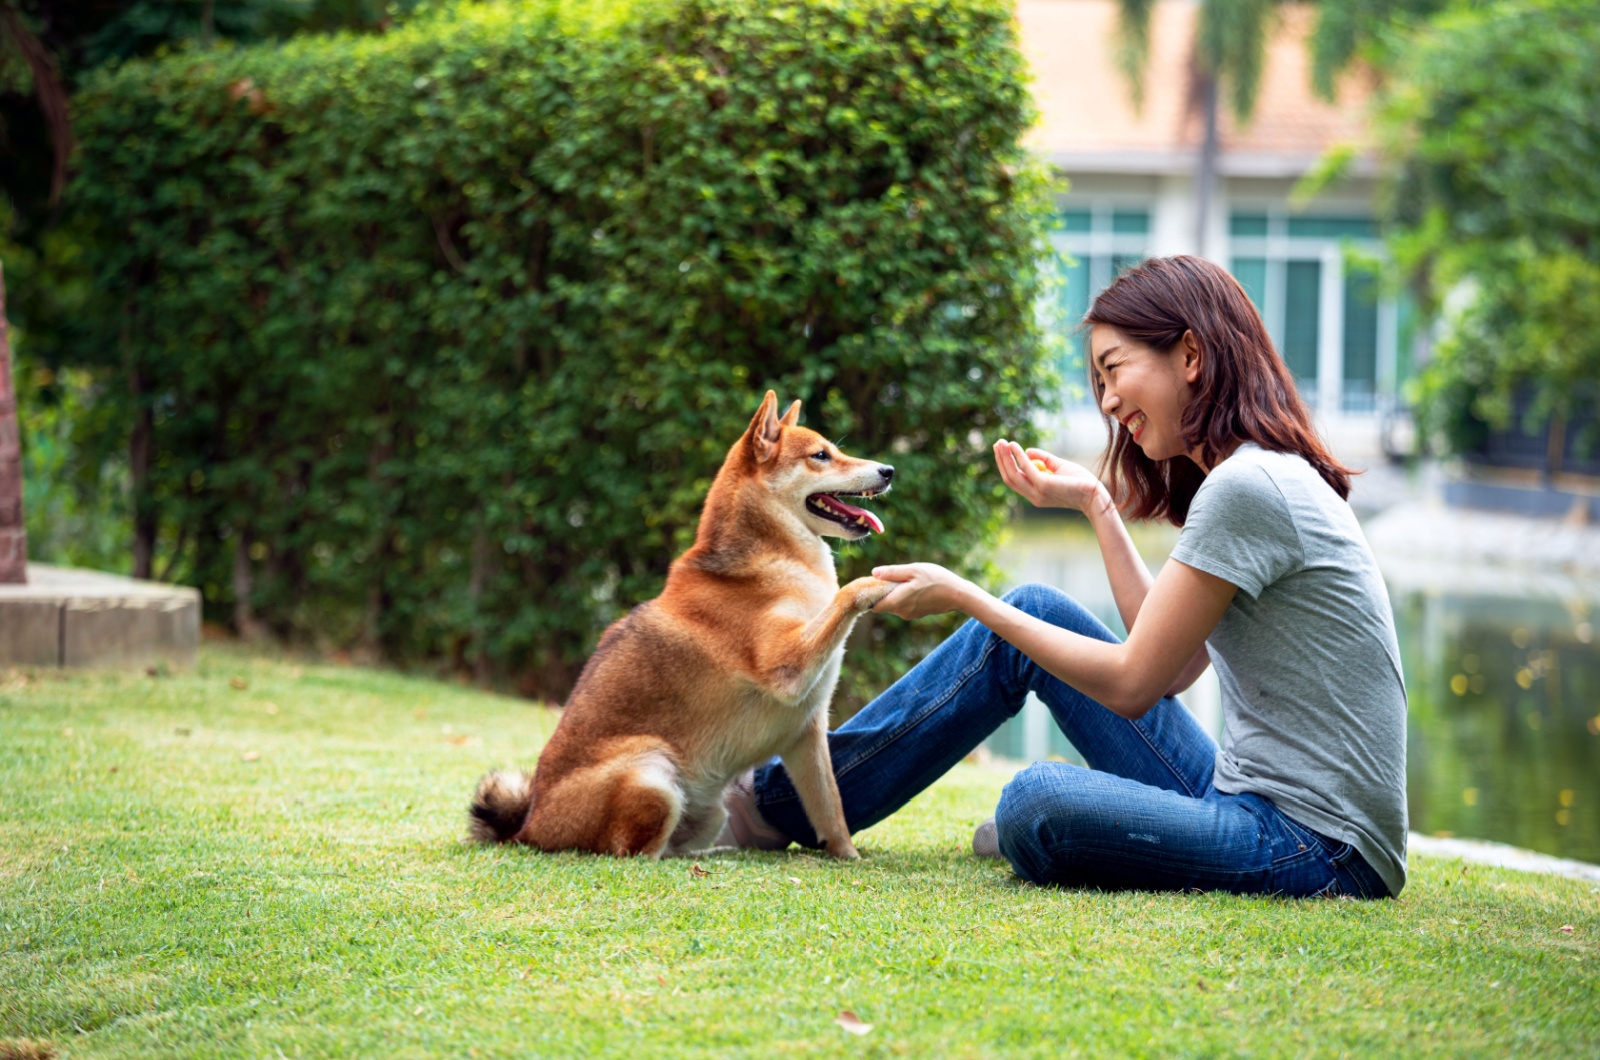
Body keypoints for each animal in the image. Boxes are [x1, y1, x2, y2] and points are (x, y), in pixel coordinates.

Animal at [467, 390, 902, 864]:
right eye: (821, 455)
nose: (888, 470)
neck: (771, 561)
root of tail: (529, 828)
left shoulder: (806, 733)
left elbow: (831, 809)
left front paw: (848, 856)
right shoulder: (786, 668)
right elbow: (846, 594)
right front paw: (880, 583)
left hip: (709, 811)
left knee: (675, 848)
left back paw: (716, 856)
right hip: (654, 774)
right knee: (638, 854)